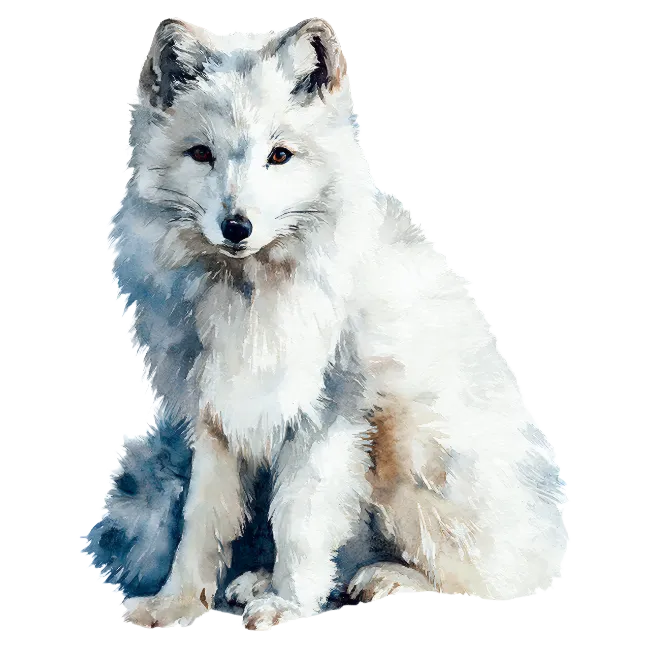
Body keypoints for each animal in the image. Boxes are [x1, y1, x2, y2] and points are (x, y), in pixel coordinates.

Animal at [108, 17, 568, 630]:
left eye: (280, 155)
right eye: (201, 153)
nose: (237, 225)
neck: (250, 298)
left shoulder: (330, 414)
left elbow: (299, 522)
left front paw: (289, 604)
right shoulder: (216, 419)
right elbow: (201, 523)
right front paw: (177, 603)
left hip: (410, 449)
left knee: (491, 584)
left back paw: (386, 583)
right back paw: (264, 580)